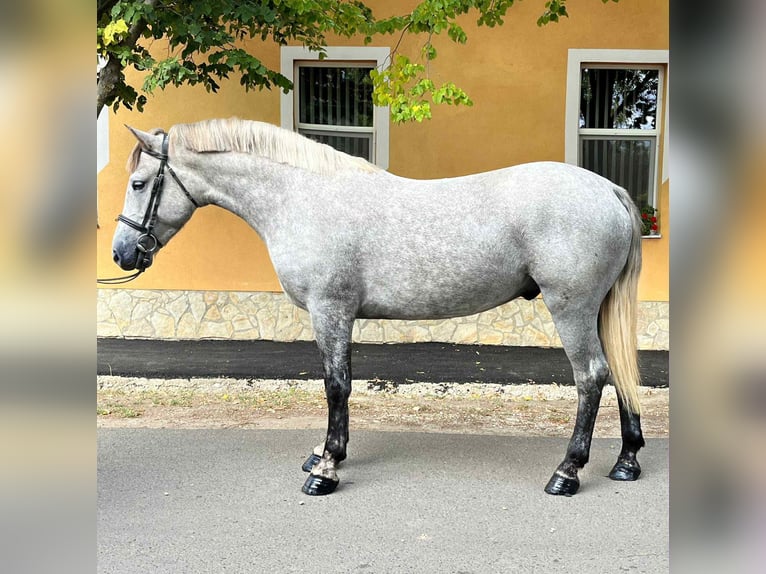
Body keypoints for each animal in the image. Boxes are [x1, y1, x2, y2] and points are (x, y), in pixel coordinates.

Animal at [110, 117, 645, 497]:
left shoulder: (330, 310)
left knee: (591, 376)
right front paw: (322, 455)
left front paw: (325, 469)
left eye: (138, 183)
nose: (121, 253)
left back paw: (567, 472)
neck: (302, 198)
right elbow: (338, 384)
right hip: (597, 310)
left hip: (571, 308)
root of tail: (609, 189)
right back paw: (627, 461)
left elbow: (336, 386)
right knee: (619, 372)